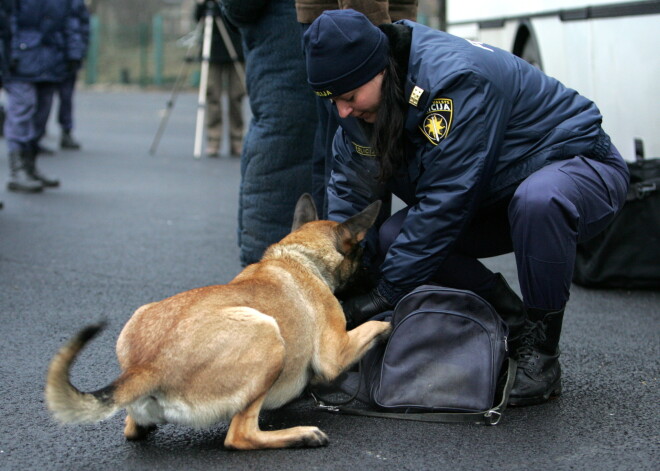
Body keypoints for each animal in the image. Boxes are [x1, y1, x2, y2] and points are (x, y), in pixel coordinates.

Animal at [46, 195, 392, 450]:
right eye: (362, 255)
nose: (378, 278)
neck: (299, 255)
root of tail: (147, 367)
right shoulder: (336, 353)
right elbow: (373, 328)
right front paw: (388, 323)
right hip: (269, 336)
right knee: (240, 436)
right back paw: (301, 435)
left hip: (143, 316)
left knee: (132, 429)